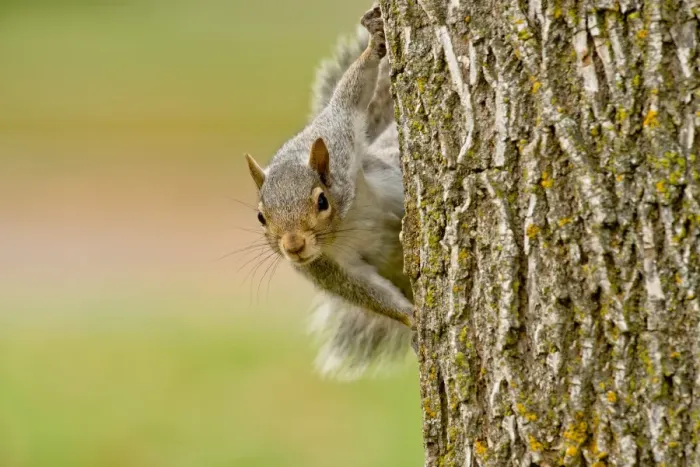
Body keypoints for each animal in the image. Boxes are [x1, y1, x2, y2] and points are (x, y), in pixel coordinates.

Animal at [244, 6, 414, 380]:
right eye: (261, 217)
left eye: (322, 200)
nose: (293, 247)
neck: (341, 228)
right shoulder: (325, 268)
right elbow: (366, 293)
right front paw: (415, 318)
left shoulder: (339, 138)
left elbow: (347, 100)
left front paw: (374, 45)